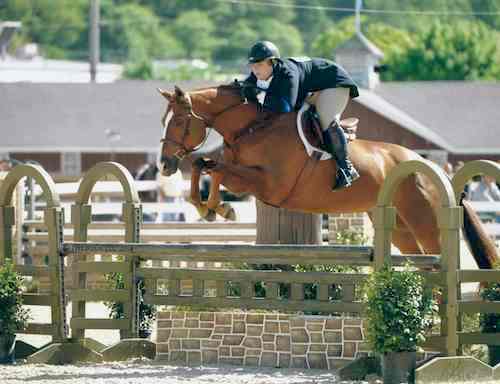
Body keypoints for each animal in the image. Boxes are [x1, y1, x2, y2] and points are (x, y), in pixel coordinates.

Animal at [155, 85, 496, 268]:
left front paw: (221, 209)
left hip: (426, 222)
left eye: (179, 122)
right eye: (164, 121)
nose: (164, 165)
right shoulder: (248, 180)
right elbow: (204, 165)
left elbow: (215, 169)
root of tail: (434, 169)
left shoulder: (269, 185)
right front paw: (207, 208)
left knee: (438, 257)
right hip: (399, 228)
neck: (253, 128)